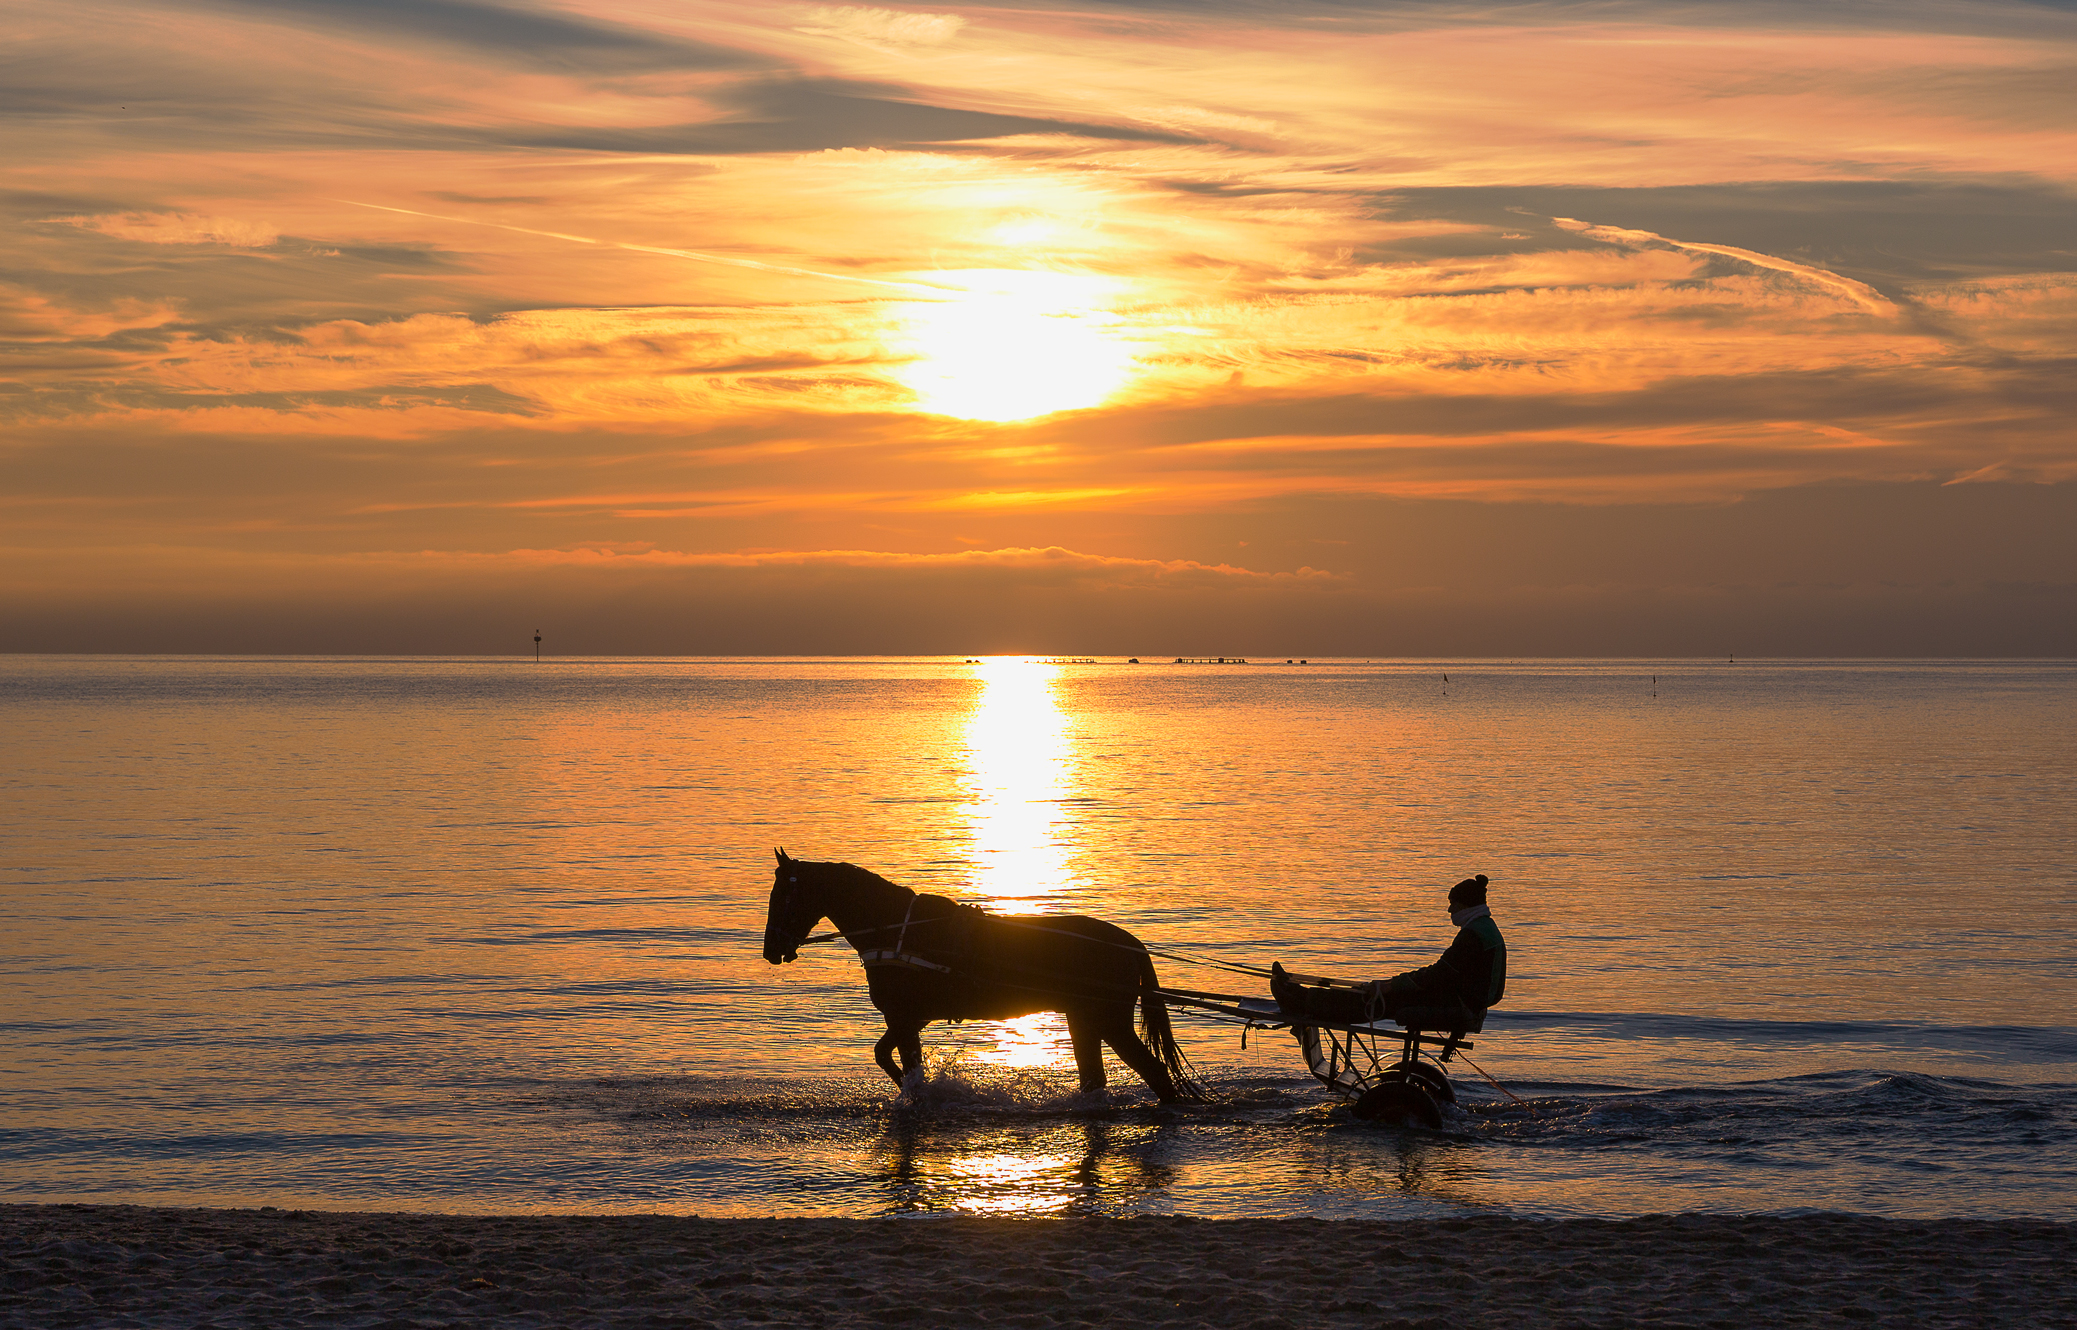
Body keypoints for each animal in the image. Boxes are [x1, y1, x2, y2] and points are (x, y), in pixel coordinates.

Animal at [761, 849, 1202, 1101]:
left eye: (783, 895)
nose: (770, 951)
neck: (896, 928)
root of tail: (1130, 942)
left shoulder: (903, 1018)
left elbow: (901, 1065)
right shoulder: (908, 1019)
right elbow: (890, 1058)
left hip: (1108, 1020)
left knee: (1155, 1074)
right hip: (1084, 1020)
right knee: (1096, 1079)